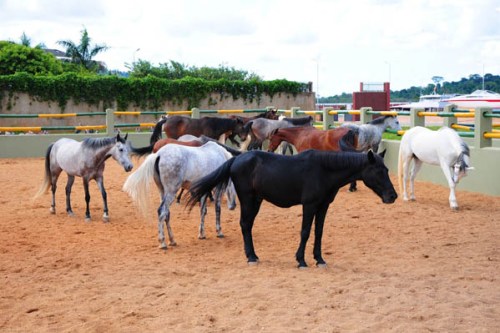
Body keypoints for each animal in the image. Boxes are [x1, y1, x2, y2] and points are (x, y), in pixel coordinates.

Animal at [186, 148, 396, 268]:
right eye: (378, 171)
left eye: (387, 170)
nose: (392, 196)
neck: (324, 170)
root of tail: (236, 159)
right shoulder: (309, 205)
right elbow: (305, 232)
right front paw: (301, 260)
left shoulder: (323, 206)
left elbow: (318, 232)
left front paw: (319, 259)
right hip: (247, 199)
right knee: (245, 224)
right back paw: (251, 257)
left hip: (257, 201)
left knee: (248, 225)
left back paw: (253, 255)